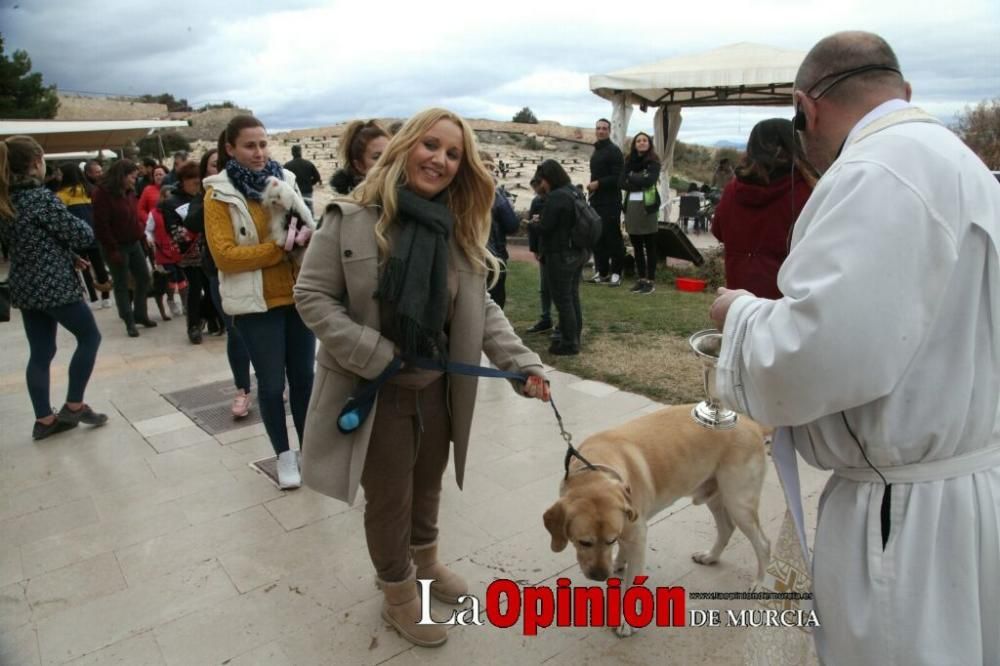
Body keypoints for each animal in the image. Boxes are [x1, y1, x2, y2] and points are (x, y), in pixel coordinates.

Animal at [544, 402, 768, 636]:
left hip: (739, 503)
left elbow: (632, 582)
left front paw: (626, 621)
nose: (600, 576)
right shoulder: (627, 526)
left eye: (609, 541)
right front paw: (619, 562)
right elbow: (624, 550)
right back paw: (710, 557)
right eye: (584, 542)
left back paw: (758, 582)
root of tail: (754, 425)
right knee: (726, 528)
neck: (595, 467)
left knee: (763, 544)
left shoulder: (637, 536)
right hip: (715, 496)